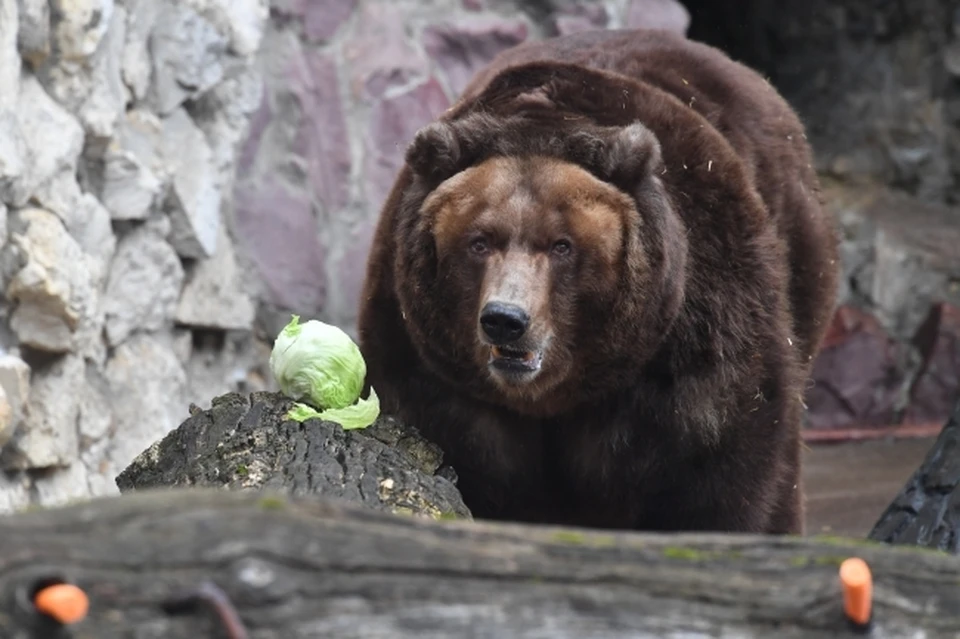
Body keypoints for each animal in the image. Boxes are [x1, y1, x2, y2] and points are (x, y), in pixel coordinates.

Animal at [356, 28, 836, 536]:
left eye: (562, 245)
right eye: (479, 241)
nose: (506, 319)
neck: (559, 396)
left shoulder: (696, 341)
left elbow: (721, 473)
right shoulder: (429, 363)